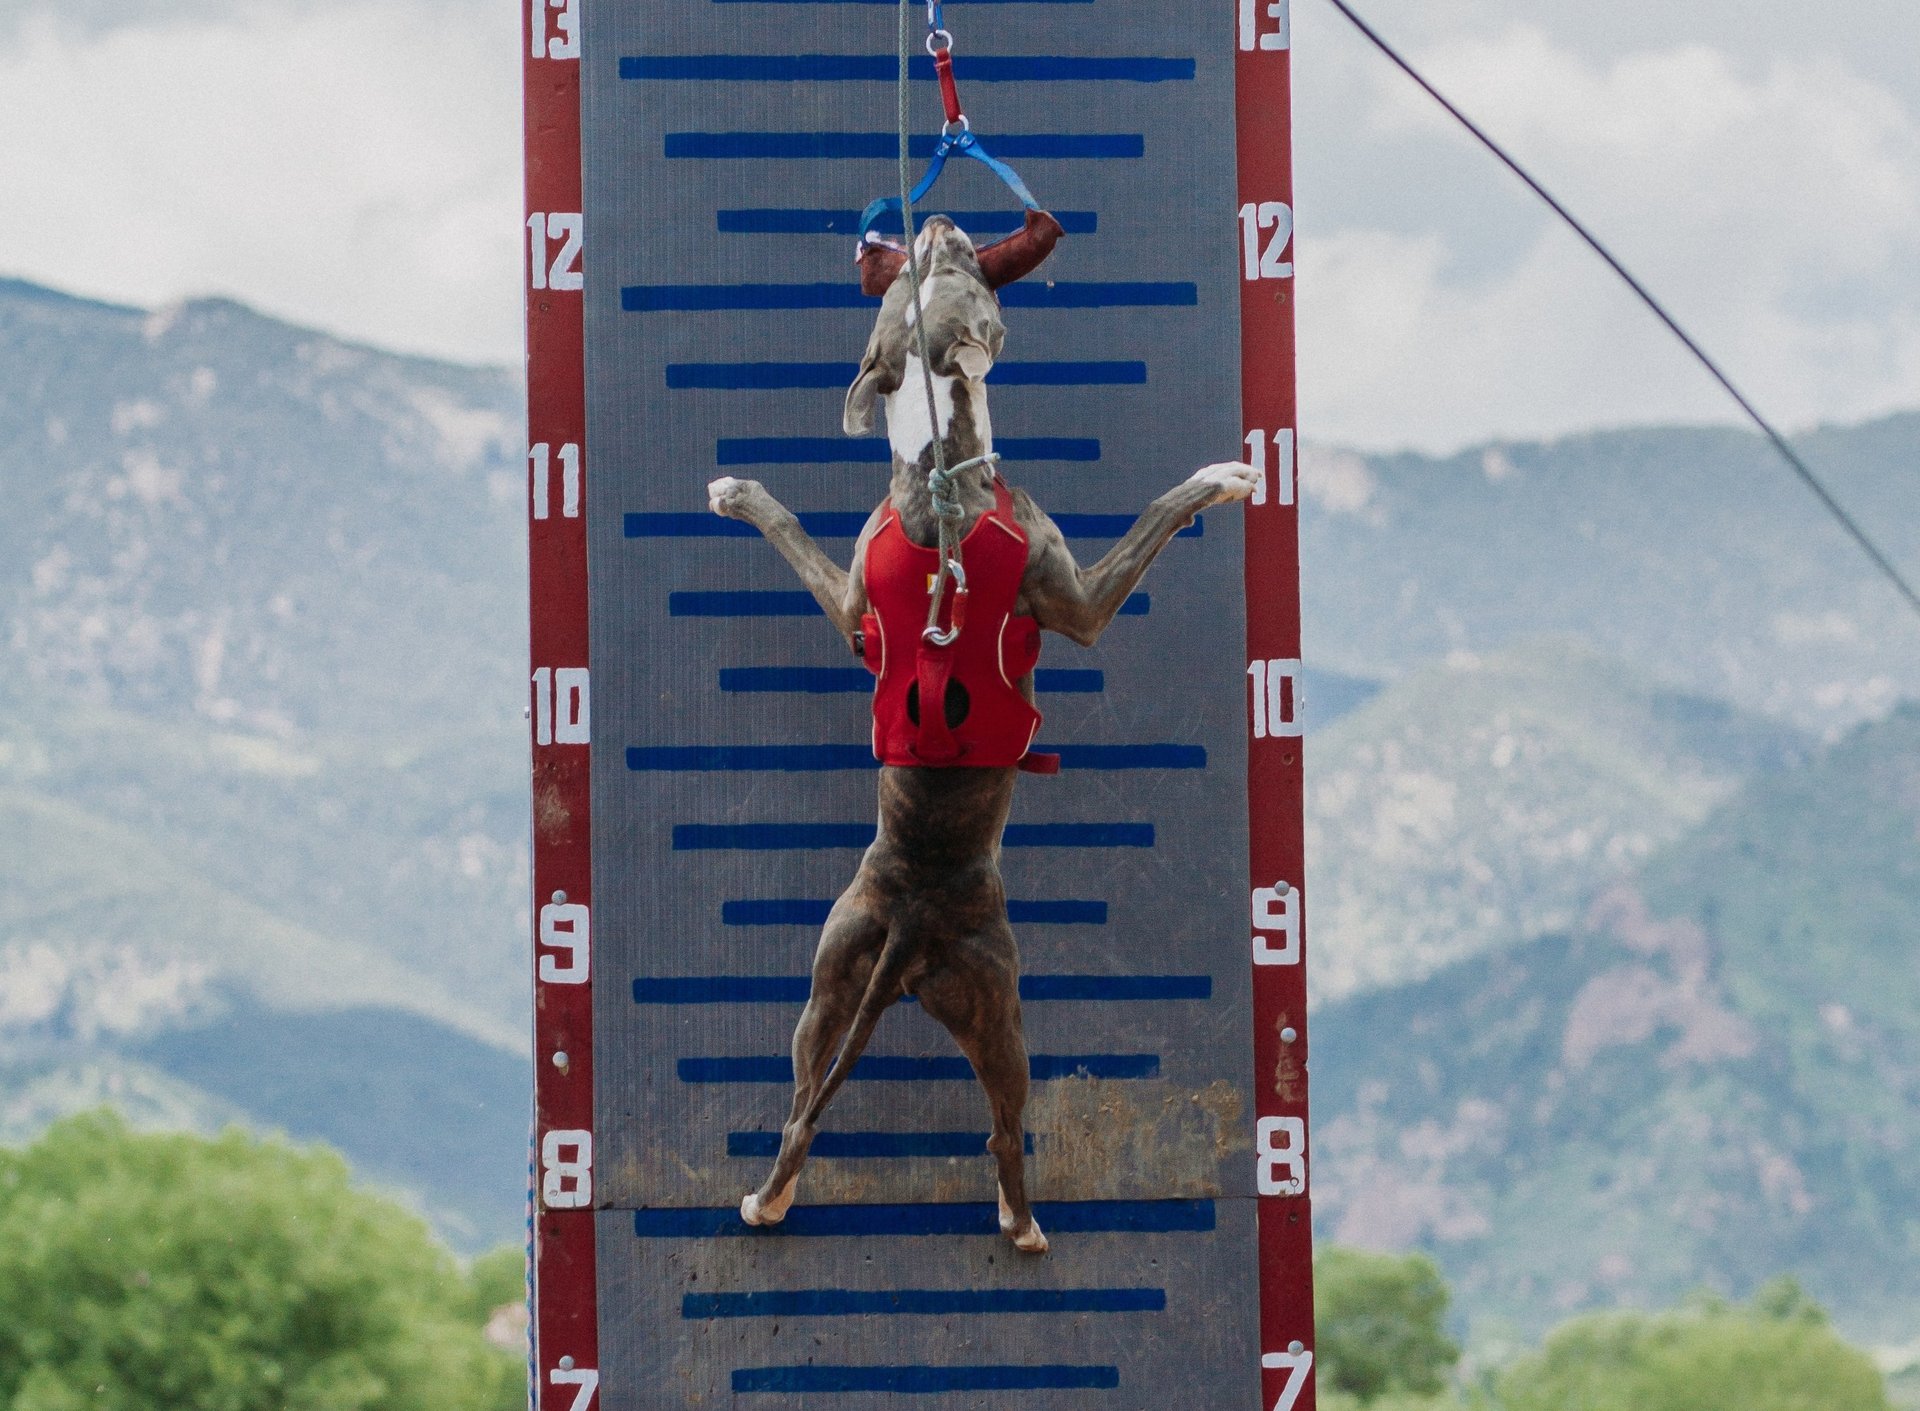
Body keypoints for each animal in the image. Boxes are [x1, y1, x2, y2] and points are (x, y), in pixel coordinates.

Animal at [706, 215, 1259, 1251]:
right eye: (952, 268)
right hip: (1000, 1007)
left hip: (828, 980)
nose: (930, 220)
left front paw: (738, 491)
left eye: (926, 267)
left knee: (800, 1110)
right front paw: (1222, 476)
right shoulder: (1080, 601)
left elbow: (794, 532)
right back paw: (1022, 1222)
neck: (939, 472)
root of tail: (913, 920)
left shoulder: (849, 604)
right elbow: (1160, 511)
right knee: (1005, 1128)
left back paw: (769, 1201)